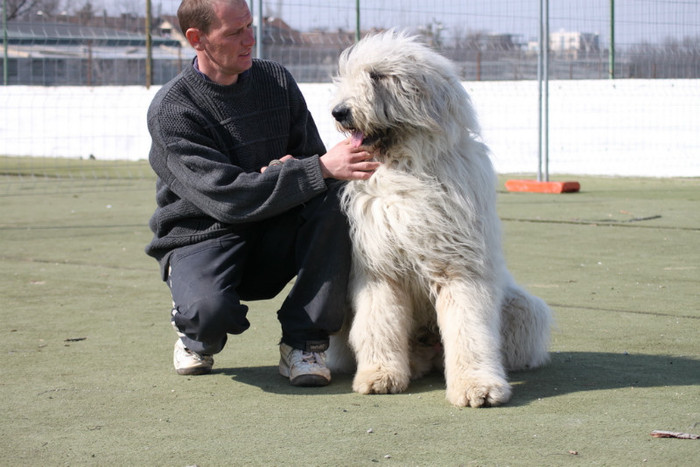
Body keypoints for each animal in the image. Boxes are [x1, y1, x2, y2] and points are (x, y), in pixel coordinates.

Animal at [326, 31, 552, 408]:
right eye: (348, 74)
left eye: (378, 76)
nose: (339, 112)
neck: (407, 167)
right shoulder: (378, 269)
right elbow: (378, 322)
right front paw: (379, 375)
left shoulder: (459, 266)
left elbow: (469, 328)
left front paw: (478, 387)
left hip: (523, 308)